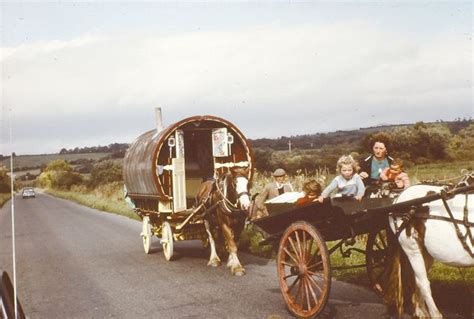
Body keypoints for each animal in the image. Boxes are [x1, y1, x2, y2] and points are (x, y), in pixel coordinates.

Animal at [386, 184, 472, 318]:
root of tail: (397, 199)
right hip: (411, 248)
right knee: (423, 283)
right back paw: (435, 314)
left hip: (425, 253)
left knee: (418, 279)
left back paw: (420, 311)